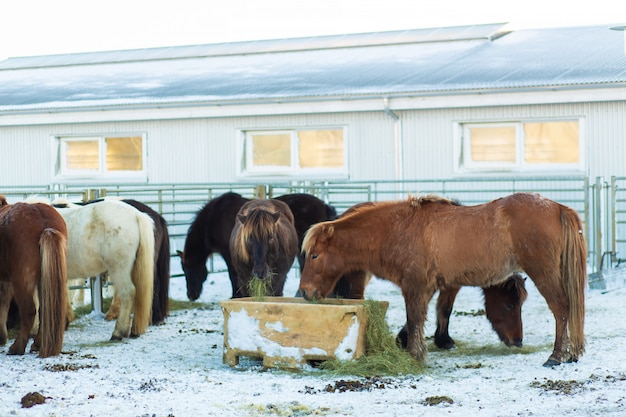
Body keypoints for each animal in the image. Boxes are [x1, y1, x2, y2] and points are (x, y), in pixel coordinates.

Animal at [0, 194, 68, 354]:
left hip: (22, 280)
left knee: (28, 311)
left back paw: (17, 347)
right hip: (44, 280)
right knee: (44, 311)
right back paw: (37, 344)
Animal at [300, 193, 588, 366]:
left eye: (315, 255)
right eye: (509, 305)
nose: (305, 292)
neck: (397, 229)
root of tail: (557, 207)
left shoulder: (415, 287)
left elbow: (415, 319)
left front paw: (414, 355)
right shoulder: (432, 287)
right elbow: (427, 317)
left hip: (544, 273)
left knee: (561, 307)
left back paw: (557, 356)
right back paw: (570, 354)